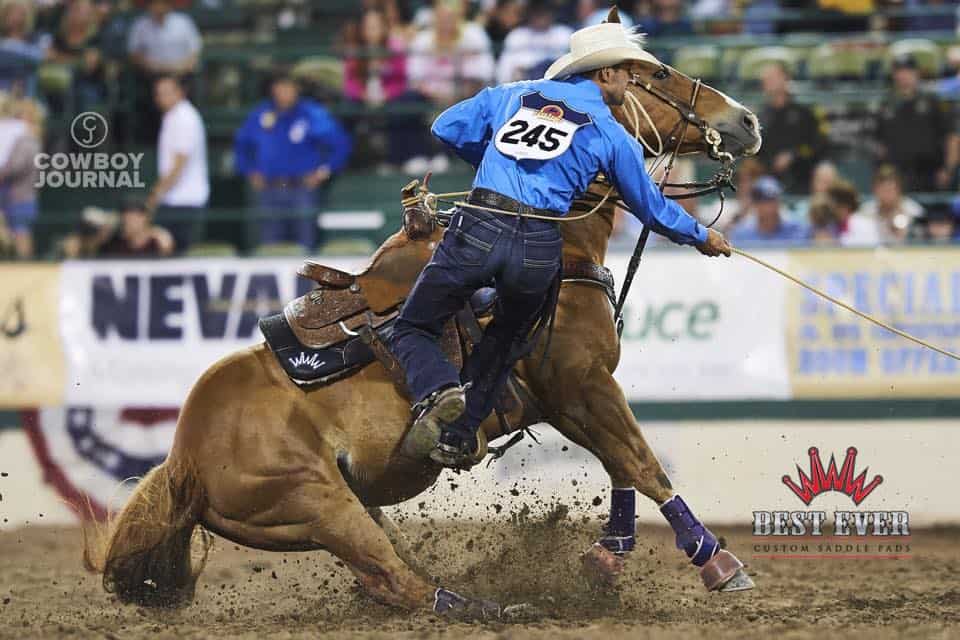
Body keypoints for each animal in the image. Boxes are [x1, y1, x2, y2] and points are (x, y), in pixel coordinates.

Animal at [83, 8, 762, 618]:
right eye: (663, 73)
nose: (747, 119)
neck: (564, 242)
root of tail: (182, 460)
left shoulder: (572, 397)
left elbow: (623, 468)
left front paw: (607, 558)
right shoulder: (579, 386)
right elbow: (643, 466)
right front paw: (717, 562)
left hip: (341, 506)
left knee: (392, 569)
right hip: (317, 504)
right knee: (397, 581)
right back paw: (494, 608)